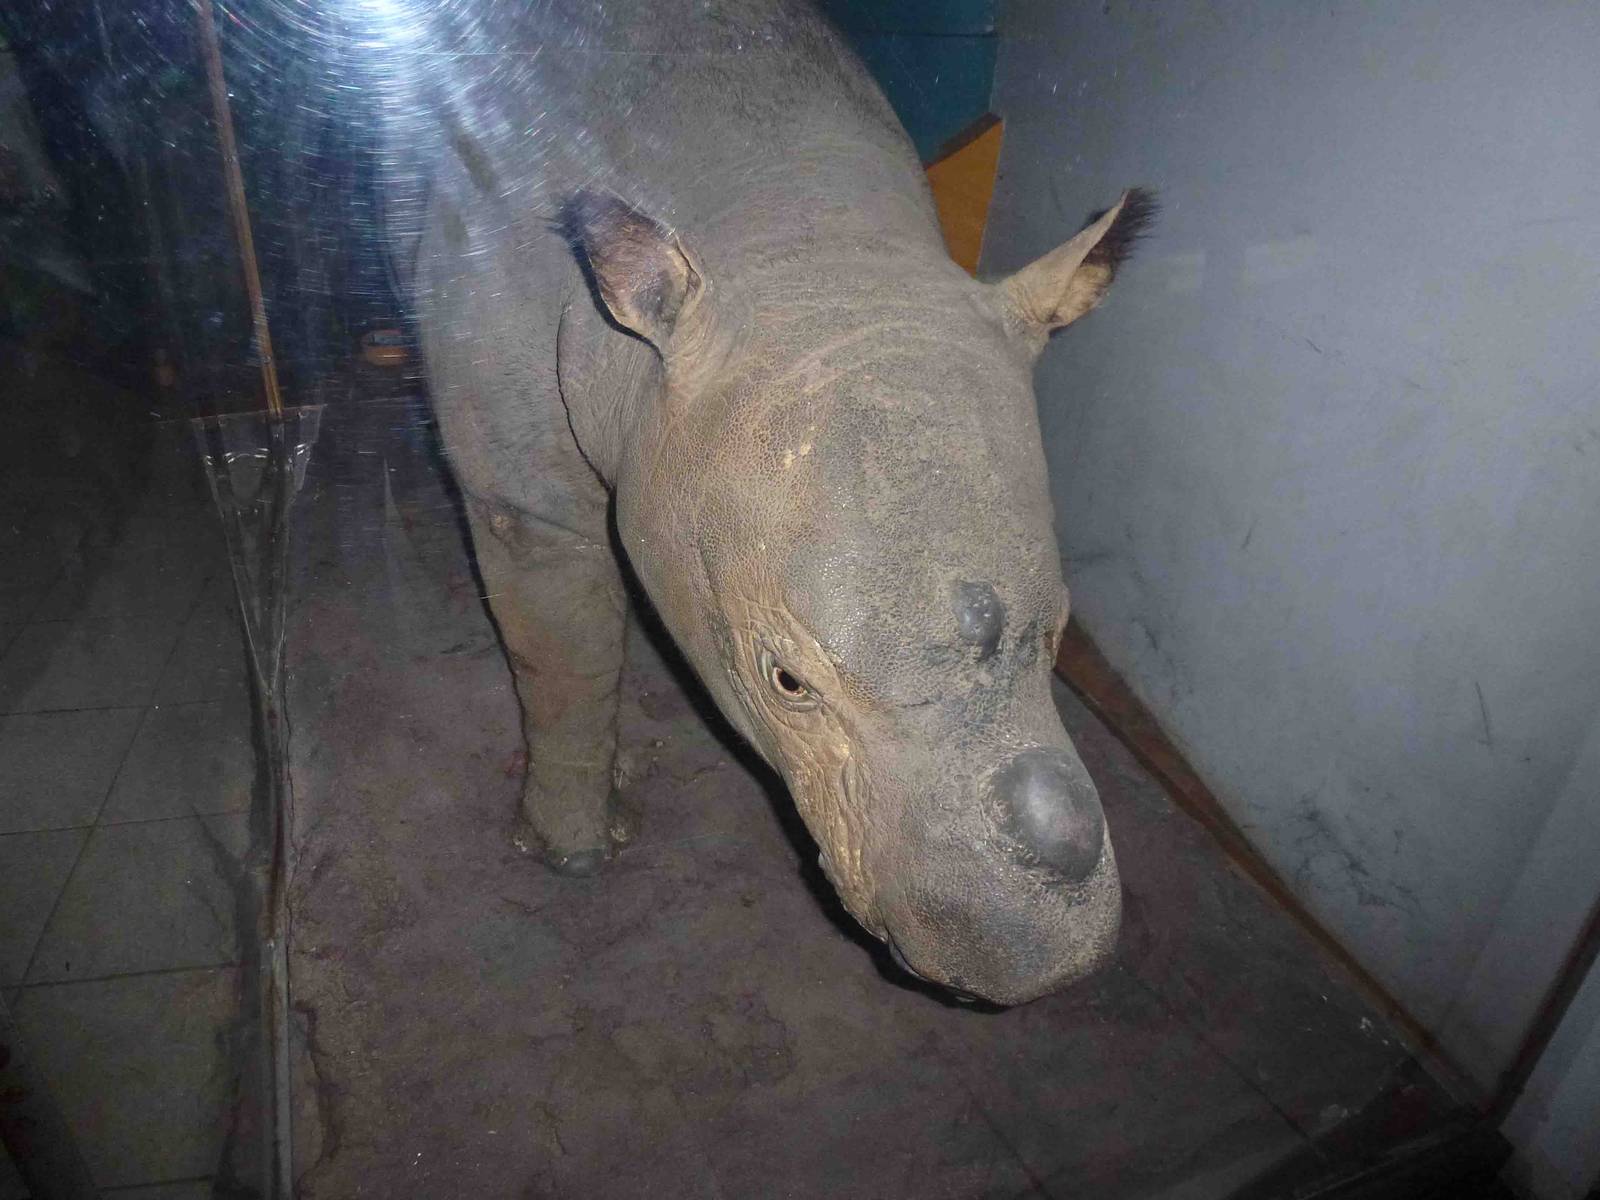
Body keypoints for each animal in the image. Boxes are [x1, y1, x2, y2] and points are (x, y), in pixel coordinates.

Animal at [376, 0, 1152, 1005]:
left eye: (1060, 635)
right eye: (786, 682)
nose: (1029, 962)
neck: (796, 234)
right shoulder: (522, 477)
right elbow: (563, 641)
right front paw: (572, 853)